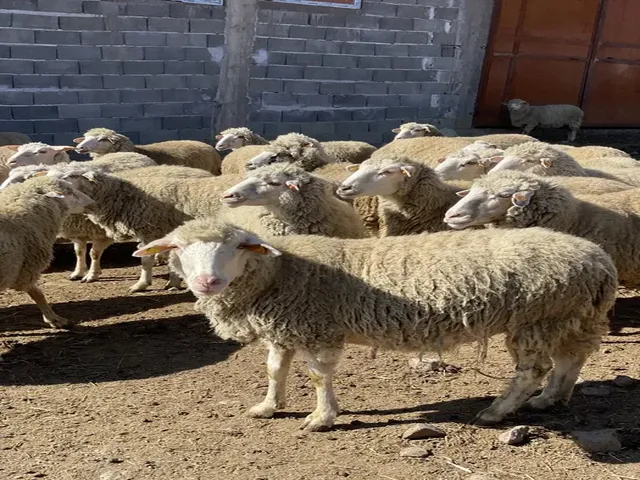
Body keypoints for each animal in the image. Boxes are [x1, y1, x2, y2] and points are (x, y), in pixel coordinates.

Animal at [47, 165, 244, 293]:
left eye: (72, 175)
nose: (52, 184)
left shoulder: (150, 233)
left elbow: (145, 261)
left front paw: (141, 285)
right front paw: (173, 283)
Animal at [133, 218, 616, 430]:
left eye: (237, 247)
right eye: (178, 248)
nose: (207, 281)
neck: (284, 272)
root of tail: (599, 260)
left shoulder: (317, 327)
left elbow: (317, 377)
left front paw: (322, 417)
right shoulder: (285, 328)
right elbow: (274, 370)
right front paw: (268, 407)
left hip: (540, 316)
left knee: (532, 370)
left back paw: (499, 410)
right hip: (569, 315)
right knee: (569, 360)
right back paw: (551, 399)